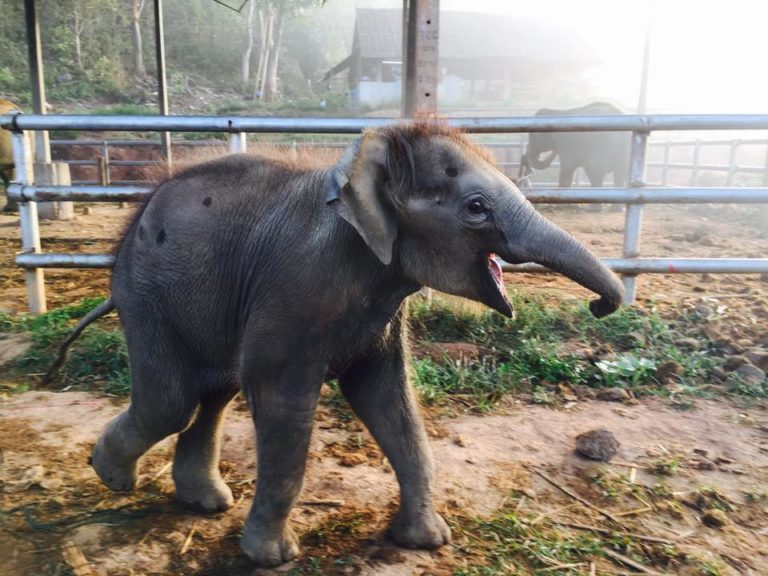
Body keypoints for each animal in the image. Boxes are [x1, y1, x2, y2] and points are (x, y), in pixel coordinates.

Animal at [52, 119, 624, 564]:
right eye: (477, 207)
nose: (599, 307)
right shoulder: (296, 289)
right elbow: (283, 401)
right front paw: (272, 559)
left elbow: (386, 399)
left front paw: (427, 541)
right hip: (148, 296)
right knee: (172, 400)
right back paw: (113, 478)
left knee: (211, 393)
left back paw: (204, 503)